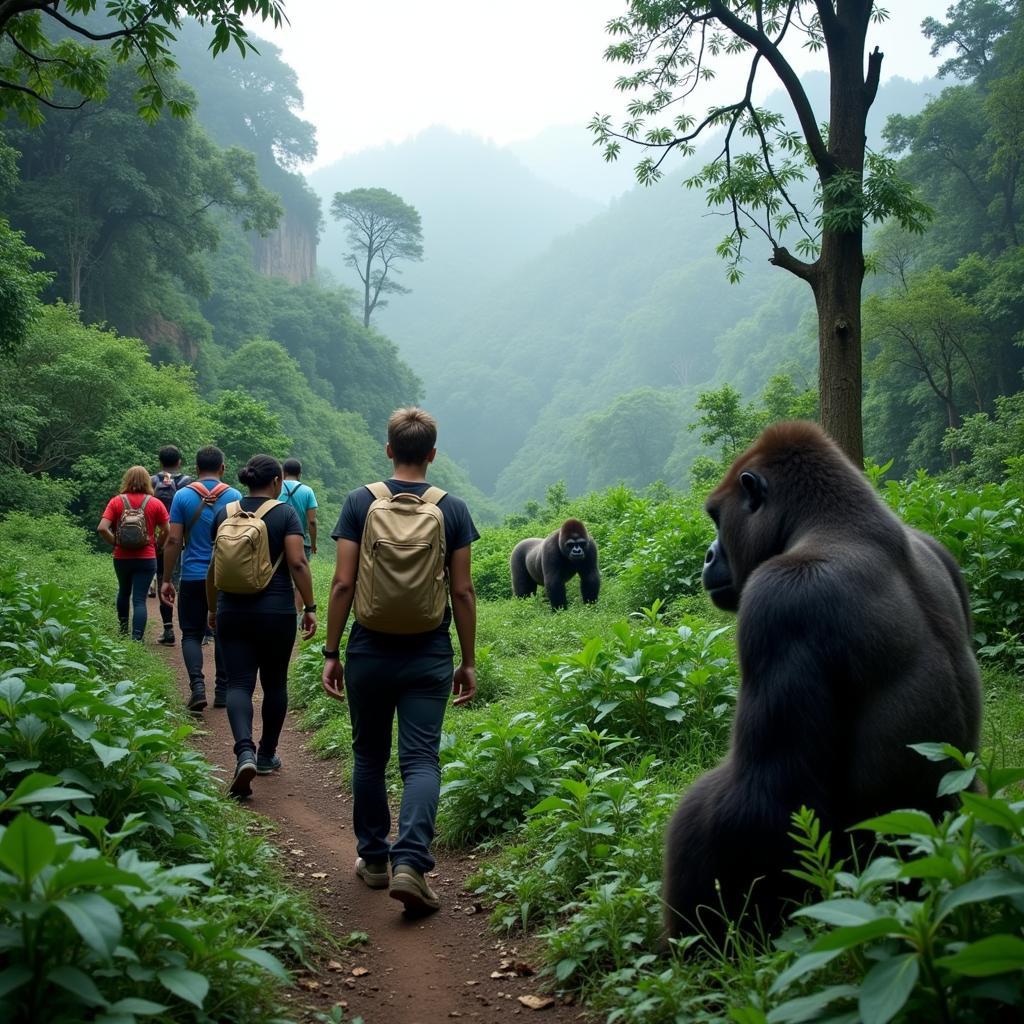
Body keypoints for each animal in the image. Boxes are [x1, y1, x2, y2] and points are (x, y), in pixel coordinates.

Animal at [663, 417, 983, 942]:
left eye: (716, 519)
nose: (708, 556)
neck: (845, 522)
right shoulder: (945, 553)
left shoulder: (780, 602)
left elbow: (768, 801)